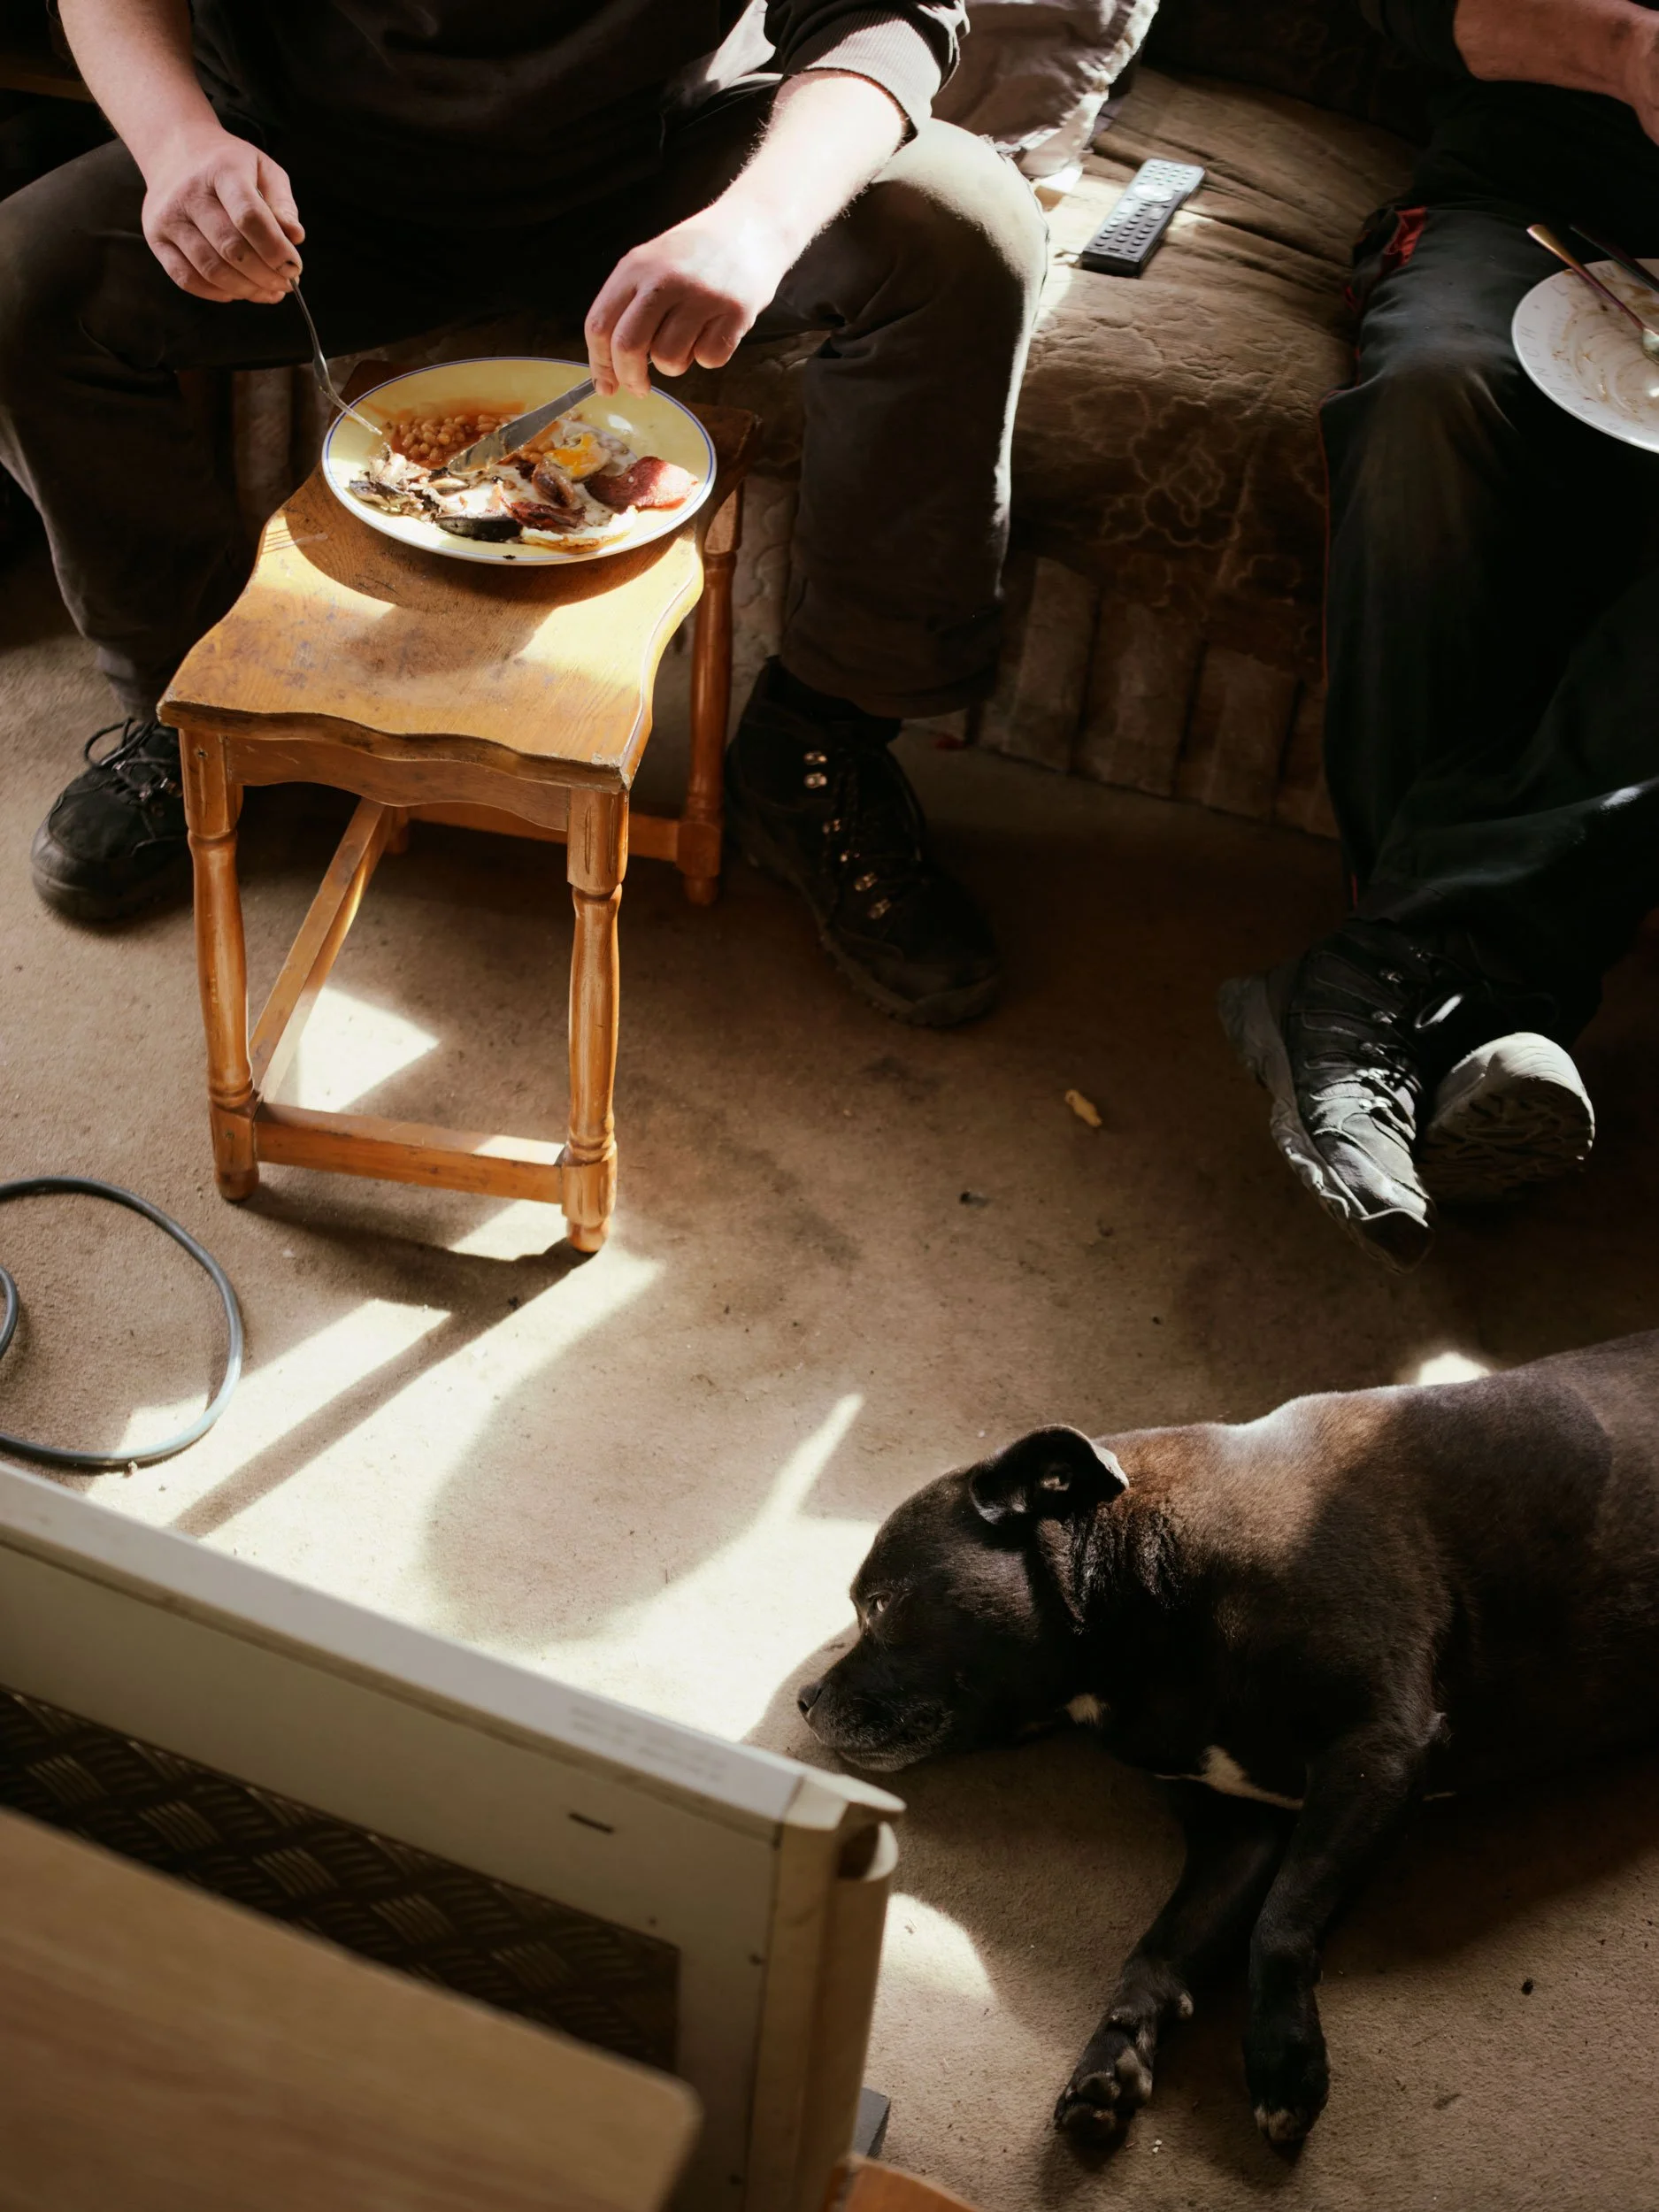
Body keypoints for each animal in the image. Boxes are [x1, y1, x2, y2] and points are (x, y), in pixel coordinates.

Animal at [798, 1332, 1659, 2147]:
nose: (805, 1700)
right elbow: (1161, 1948)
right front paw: (1113, 2058)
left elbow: (1278, 1926)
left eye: (878, 1605)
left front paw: (1283, 2064)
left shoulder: (1375, 1751)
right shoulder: (1237, 1833)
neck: (1144, 1585)